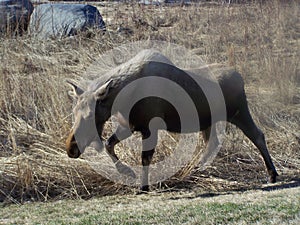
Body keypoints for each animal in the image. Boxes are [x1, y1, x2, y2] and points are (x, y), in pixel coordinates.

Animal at [66, 49, 278, 192]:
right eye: (73, 111)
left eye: (90, 115)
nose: (71, 148)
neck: (122, 98)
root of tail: (240, 77)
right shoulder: (129, 126)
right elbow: (109, 144)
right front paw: (127, 172)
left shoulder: (149, 128)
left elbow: (145, 158)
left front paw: (143, 187)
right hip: (210, 122)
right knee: (213, 143)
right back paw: (197, 169)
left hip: (239, 113)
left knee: (257, 135)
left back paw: (273, 174)